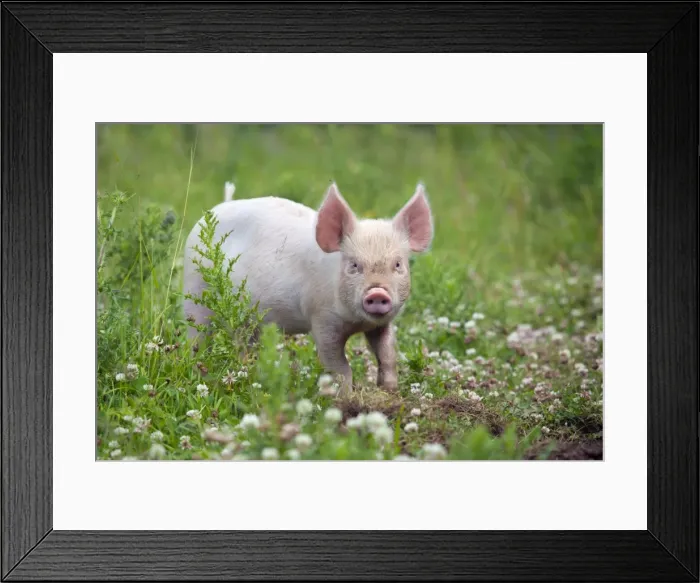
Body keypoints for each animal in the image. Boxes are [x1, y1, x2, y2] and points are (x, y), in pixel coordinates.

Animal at [183, 181, 434, 395]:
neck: (356, 321)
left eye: (398, 264)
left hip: (249, 319)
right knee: (197, 337)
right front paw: (345, 398)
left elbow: (388, 353)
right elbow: (339, 366)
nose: (377, 292)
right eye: (354, 265)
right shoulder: (321, 318)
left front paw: (389, 390)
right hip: (194, 290)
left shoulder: (382, 323)